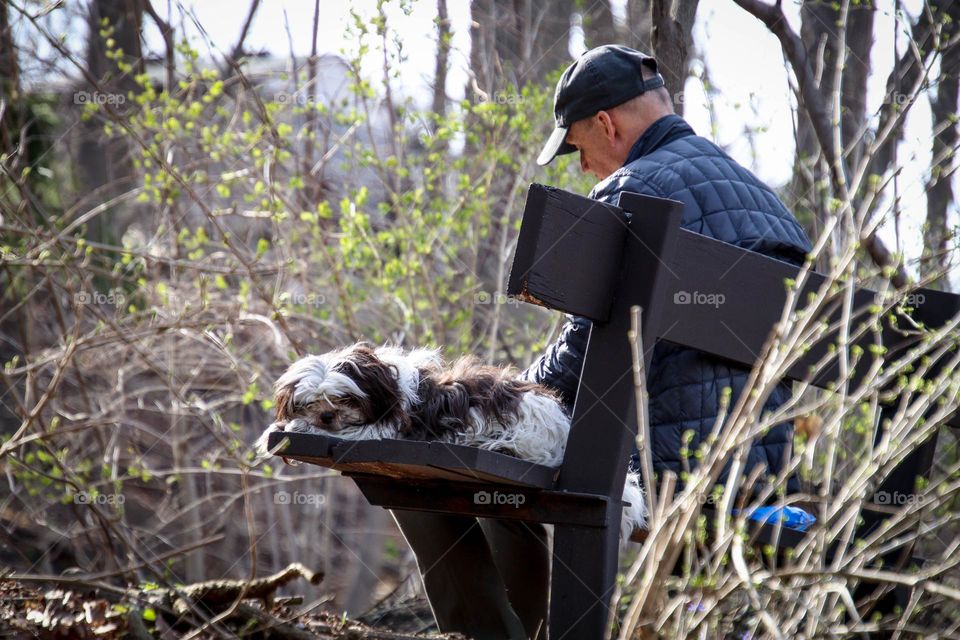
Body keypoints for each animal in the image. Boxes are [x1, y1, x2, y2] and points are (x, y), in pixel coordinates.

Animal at [255, 342, 648, 536]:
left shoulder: (384, 429)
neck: (386, 384)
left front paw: (290, 429)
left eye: (344, 399)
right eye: (311, 402)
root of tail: (562, 432)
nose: (326, 416)